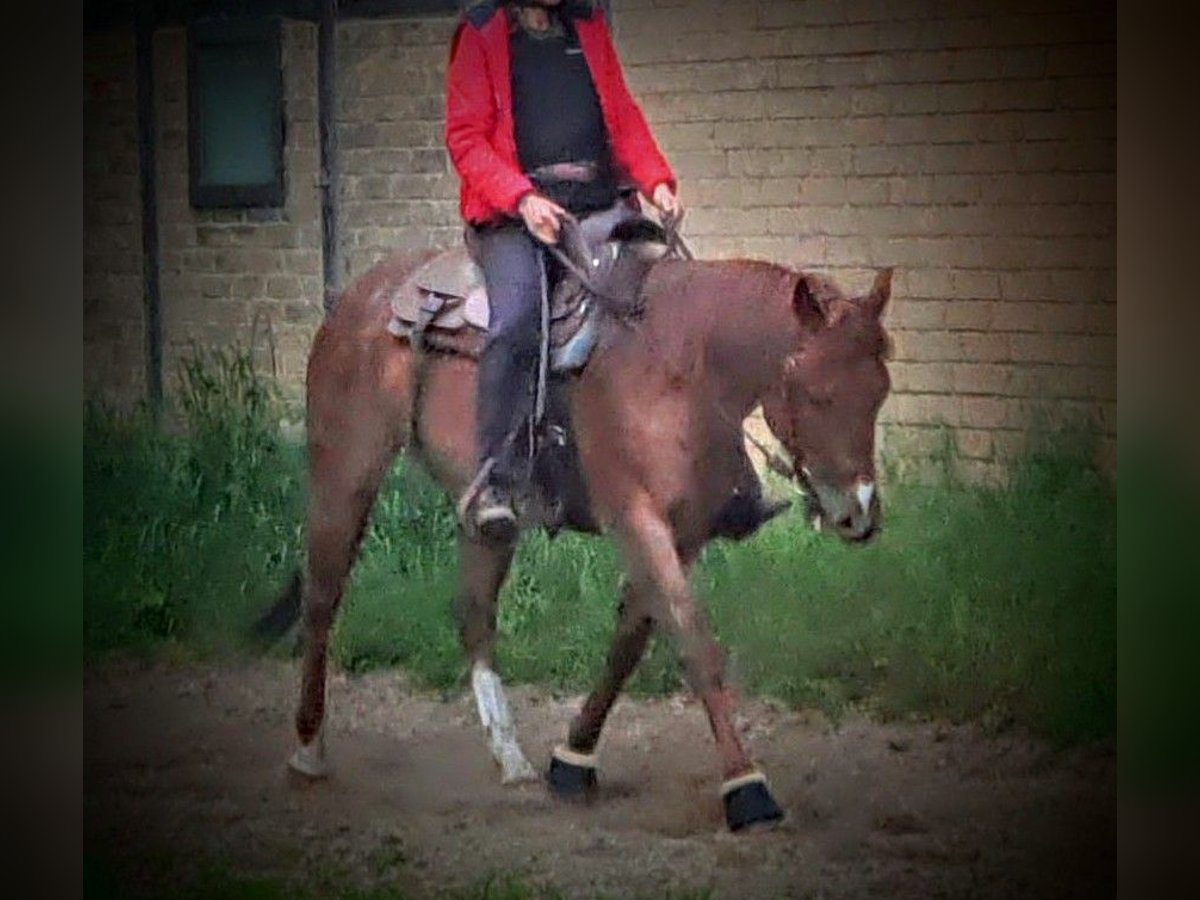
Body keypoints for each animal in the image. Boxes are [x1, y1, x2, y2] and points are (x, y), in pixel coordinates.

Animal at [253, 230, 892, 830]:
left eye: (880, 392)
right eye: (816, 392)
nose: (858, 512)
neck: (681, 362)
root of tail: (360, 296)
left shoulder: (683, 532)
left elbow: (630, 640)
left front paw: (573, 760)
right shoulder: (636, 517)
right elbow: (692, 639)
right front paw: (747, 788)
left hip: (488, 522)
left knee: (474, 614)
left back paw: (511, 759)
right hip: (346, 472)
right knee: (322, 597)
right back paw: (308, 751)